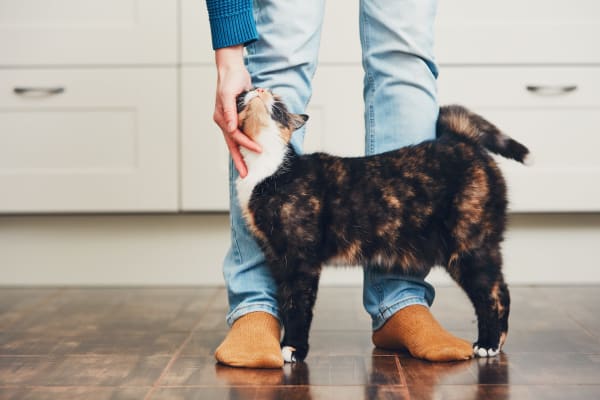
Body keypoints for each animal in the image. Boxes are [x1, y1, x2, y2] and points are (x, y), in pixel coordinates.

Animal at [234, 89, 528, 364]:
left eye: (278, 103)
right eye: (244, 94)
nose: (259, 90)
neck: (267, 169)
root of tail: (459, 140)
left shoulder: (301, 260)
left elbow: (298, 306)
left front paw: (294, 348)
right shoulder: (277, 258)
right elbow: (286, 302)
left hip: (469, 246)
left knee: (494, 294)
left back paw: (488, 344)